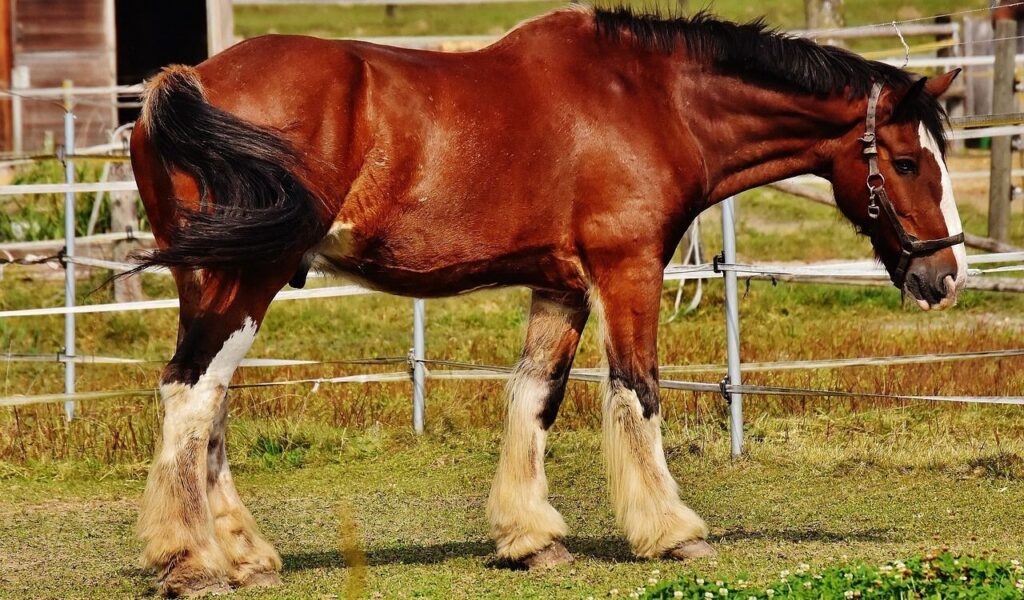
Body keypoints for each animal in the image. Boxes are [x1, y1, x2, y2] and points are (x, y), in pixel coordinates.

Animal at [129, 6, 966, 595]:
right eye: (905, 161)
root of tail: (185, 83)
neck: (651, 99)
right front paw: (672, 531)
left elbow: (535, 396)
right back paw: (192, 561)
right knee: (193, 394)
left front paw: (530, 538)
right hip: (249, 277)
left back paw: (244, 556)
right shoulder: (628, 270)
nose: (948, 273)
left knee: (207, 404)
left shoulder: (560, 286)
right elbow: (638, 391)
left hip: (212, 279)